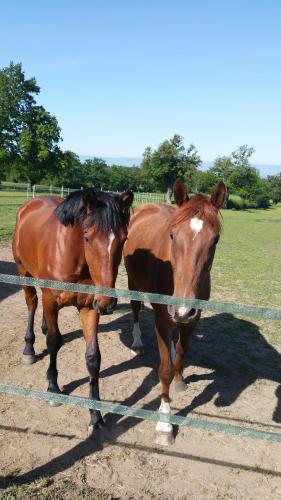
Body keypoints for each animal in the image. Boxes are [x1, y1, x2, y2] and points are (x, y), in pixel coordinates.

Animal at [12, 188, 132, 434]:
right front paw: (52, 387)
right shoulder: (50, 300)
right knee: (32, 303)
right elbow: (53, 343)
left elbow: (93, 357)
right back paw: (29, 349)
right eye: (87, 236)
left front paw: (96, 416)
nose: (108, 303)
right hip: (23, 273)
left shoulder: (89, 307)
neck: (73, 256)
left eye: (124, 238)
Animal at [123, 180, 224, 446]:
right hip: (134, 284)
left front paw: (180, 379)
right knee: (135, 310)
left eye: (215, 240)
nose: (181, 307)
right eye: (172, 235)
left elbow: (182, 350)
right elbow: (165, 370)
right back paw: (137, 342)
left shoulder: (193, 317)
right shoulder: (163, 318)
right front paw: (165, 424)